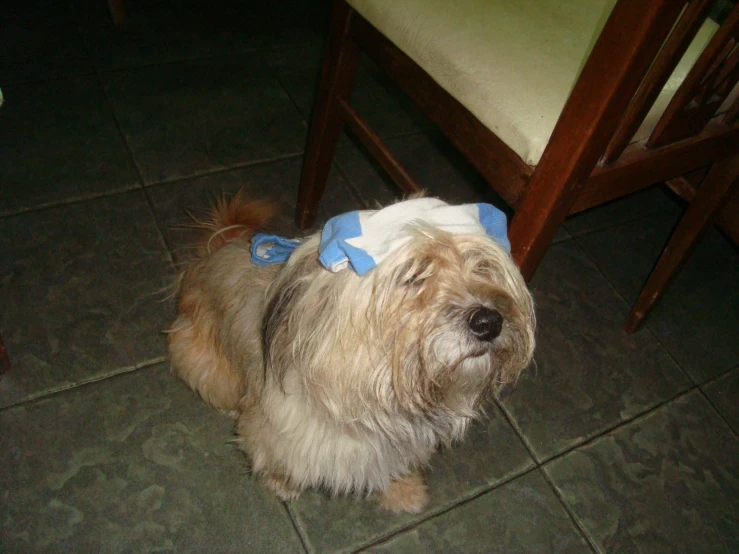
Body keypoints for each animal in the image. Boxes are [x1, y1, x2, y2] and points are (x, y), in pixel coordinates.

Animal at [170, 192, 536, 512]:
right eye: (414, 275)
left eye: (482, 266)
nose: (489, 322)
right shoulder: (277, 433)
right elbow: (278, 459)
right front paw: (282, 484)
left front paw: (404, 491)